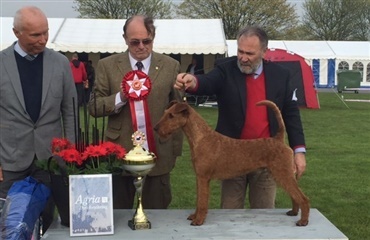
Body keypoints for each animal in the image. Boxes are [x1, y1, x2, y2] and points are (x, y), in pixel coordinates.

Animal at [153, 100, 310, 227]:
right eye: (165, 113)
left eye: (171, 116)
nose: (155, 128)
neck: (200, 138)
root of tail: (279, 139)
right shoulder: (199, 177)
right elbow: (199, 200)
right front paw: (194, 216)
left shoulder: (203, 178)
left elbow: (202, 202)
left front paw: (198, 220)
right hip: (283, 175)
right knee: (295, 196)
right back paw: (293, 212)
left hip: (283, 174)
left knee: (303, 198)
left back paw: (303, 221)